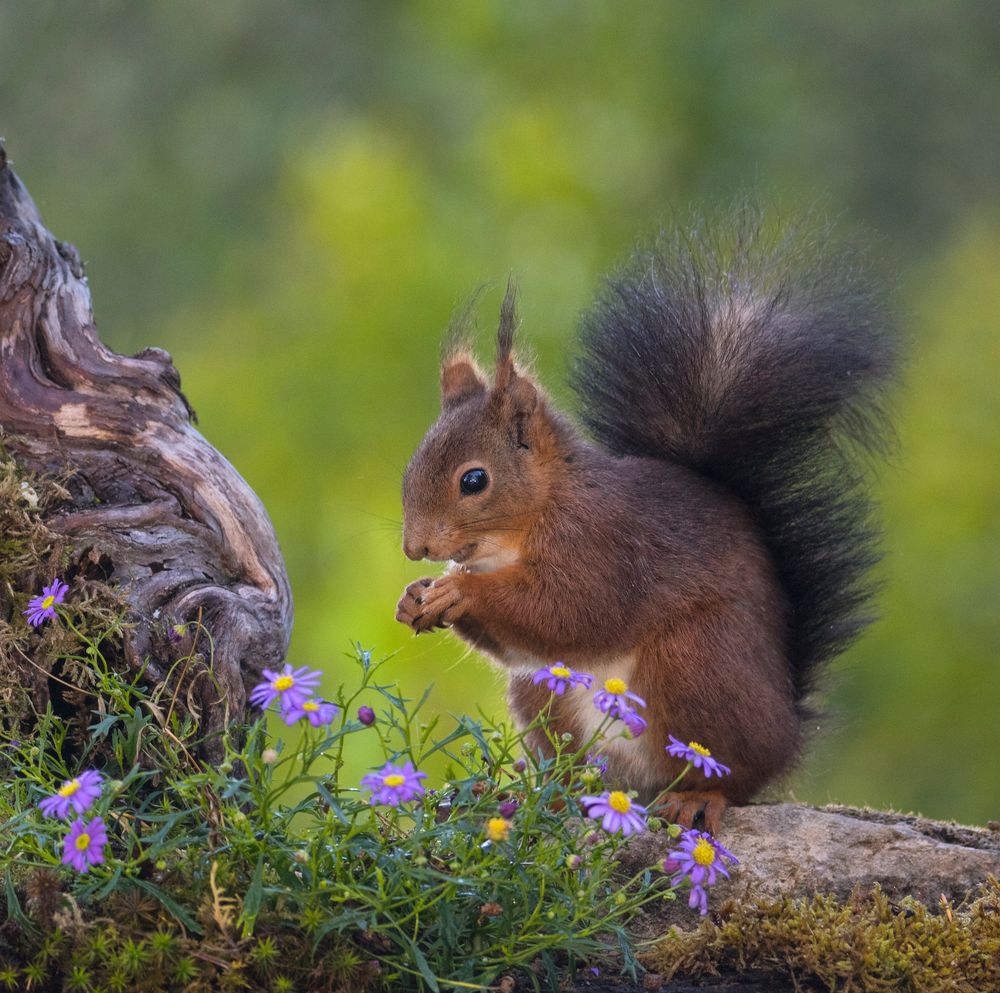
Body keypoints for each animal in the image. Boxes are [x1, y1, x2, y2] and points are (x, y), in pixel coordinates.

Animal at [394, 215, 896, 828]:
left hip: (696, 664)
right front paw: (415, 597)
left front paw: (458, 591)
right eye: (412, 464)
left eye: (473, 480)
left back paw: (698, 796)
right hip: (546, 694)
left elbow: (569, 611)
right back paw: (552, 795)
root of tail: (787, 734)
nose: (414, 548)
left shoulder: (604, 544)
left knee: (731, 776)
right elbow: (520, 641)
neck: (526, 524)